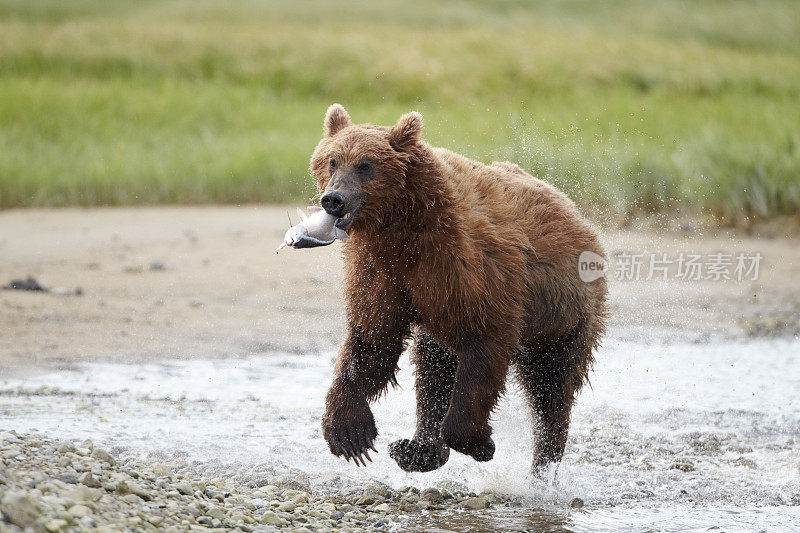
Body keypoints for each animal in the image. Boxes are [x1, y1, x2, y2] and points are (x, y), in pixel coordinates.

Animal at [312, 103, 608, 470]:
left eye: (365, 165)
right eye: (332, 161)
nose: (333, 198)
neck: (402, 228)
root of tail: (575, 212)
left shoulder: (468, 269)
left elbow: (483, 349)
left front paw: (481, 443)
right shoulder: (380, 271)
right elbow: (373, 340)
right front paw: (350, 434)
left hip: (563, 316)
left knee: (552, 387)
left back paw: (544, 461)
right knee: (432, 367)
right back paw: (417, 448)